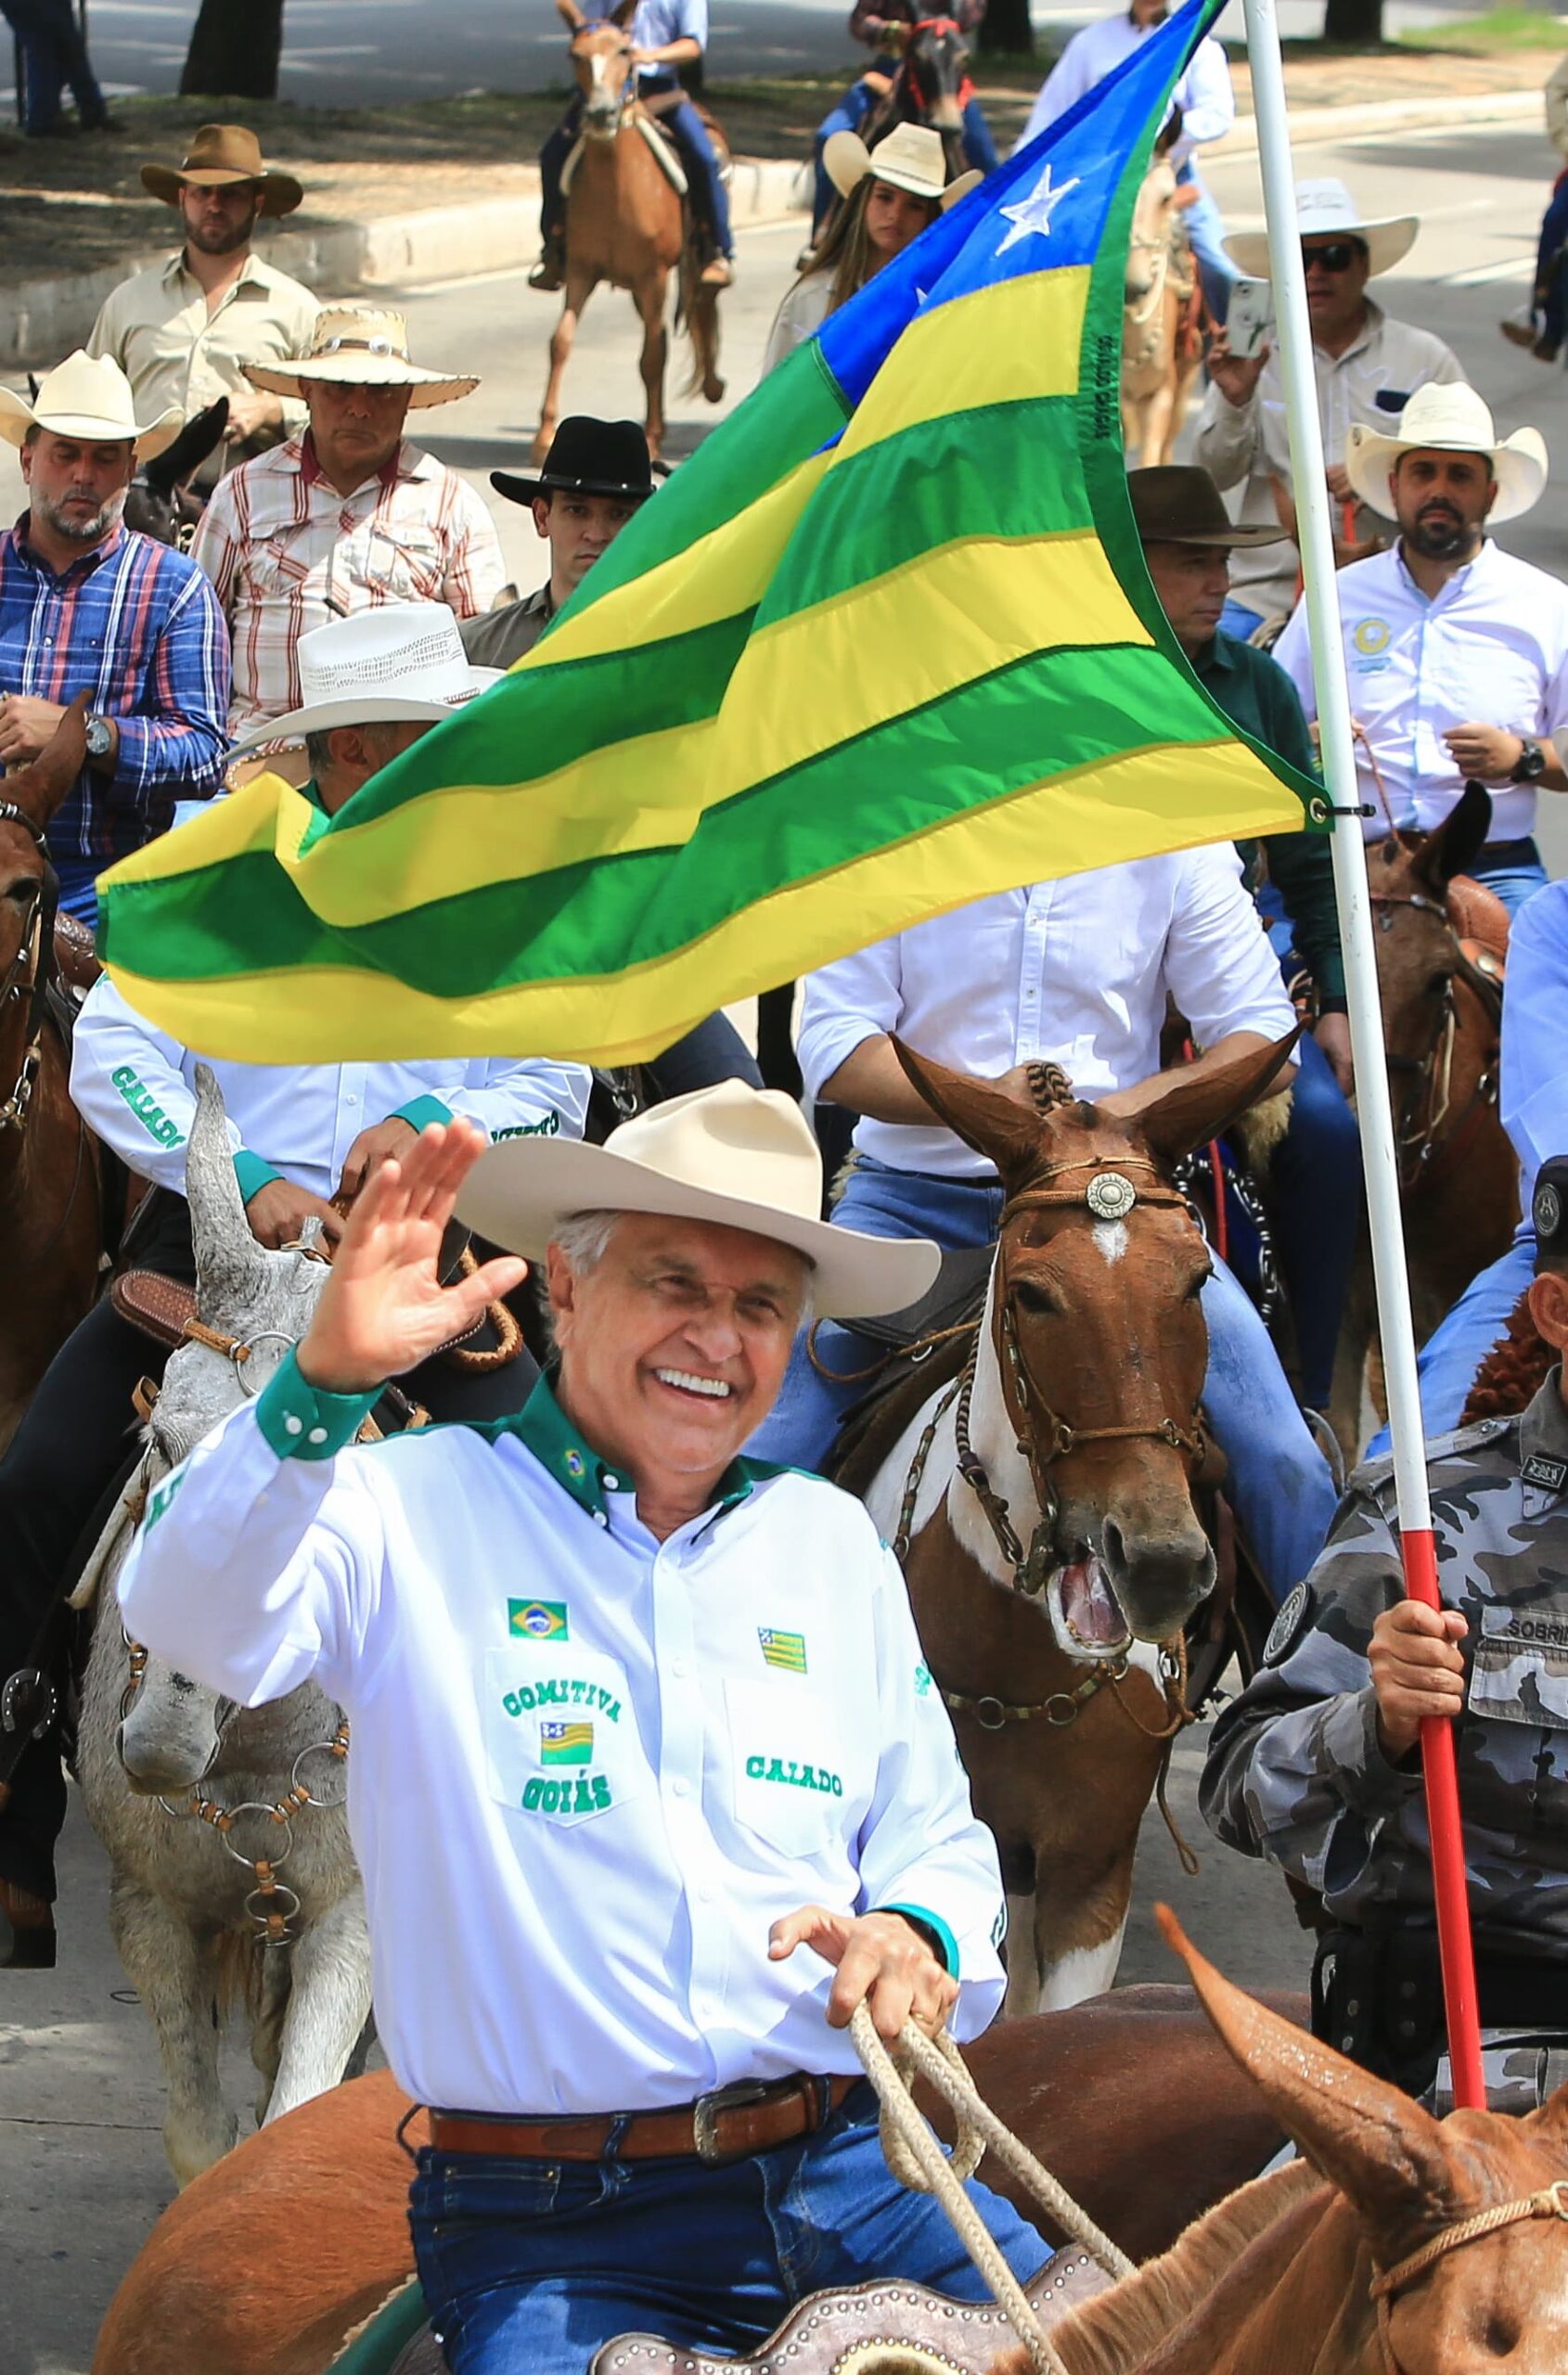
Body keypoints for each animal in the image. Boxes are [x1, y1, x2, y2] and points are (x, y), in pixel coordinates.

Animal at [530, 0, 717, 465]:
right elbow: (560, 343)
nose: (601, 114)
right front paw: (543, 436)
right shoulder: (580, 269)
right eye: (575, 55)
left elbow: (652, 356)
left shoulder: (654, 275)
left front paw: (650, 439)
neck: (618, 186)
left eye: (625, 52)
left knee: (691, 314)